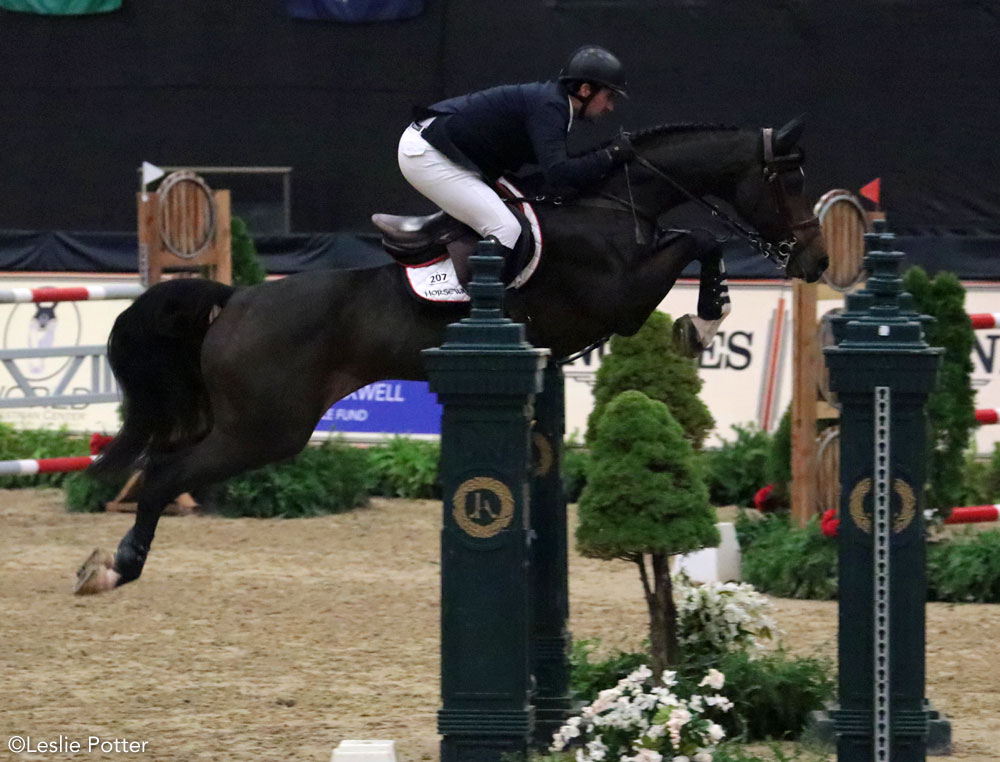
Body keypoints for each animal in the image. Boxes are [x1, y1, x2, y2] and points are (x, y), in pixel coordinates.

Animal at [74, 117, 828, 592]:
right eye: (788, 181)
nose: (818, 261)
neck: (613, 204)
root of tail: (235, 301)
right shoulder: (622, 294)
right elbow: (699, 240)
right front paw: (702, 323)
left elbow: (694, 240)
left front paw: (703, 318)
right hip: (264, 429)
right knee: (166, 473)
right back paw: (116, 568)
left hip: (237, 422)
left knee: (161, 460)